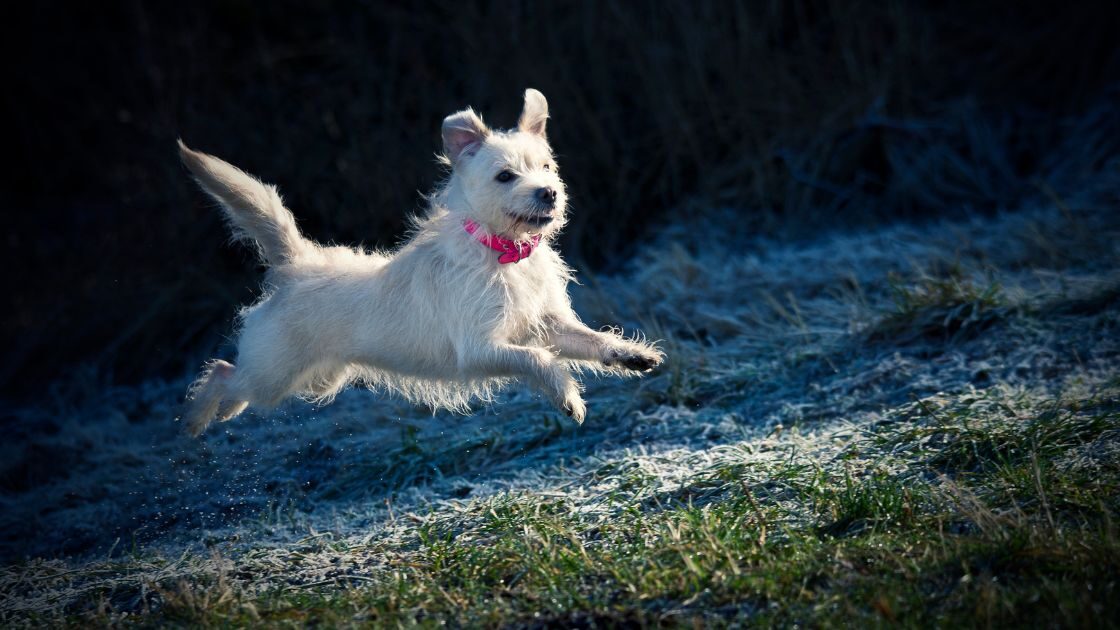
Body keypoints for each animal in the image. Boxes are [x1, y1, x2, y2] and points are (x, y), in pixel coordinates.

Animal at [179, 88, 658, 434]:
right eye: (505, 176)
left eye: (546, 167)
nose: (549, 193)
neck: (503, 253)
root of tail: (297, 265)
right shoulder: (481, 348)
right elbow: (539, 361)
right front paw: (568, 397)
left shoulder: (548, 324)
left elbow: (589, 340)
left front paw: (630, 354)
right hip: (275, 374)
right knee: (223, 371)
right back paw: (198, 420)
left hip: (314, 379)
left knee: (235, 379)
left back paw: (223, 412)